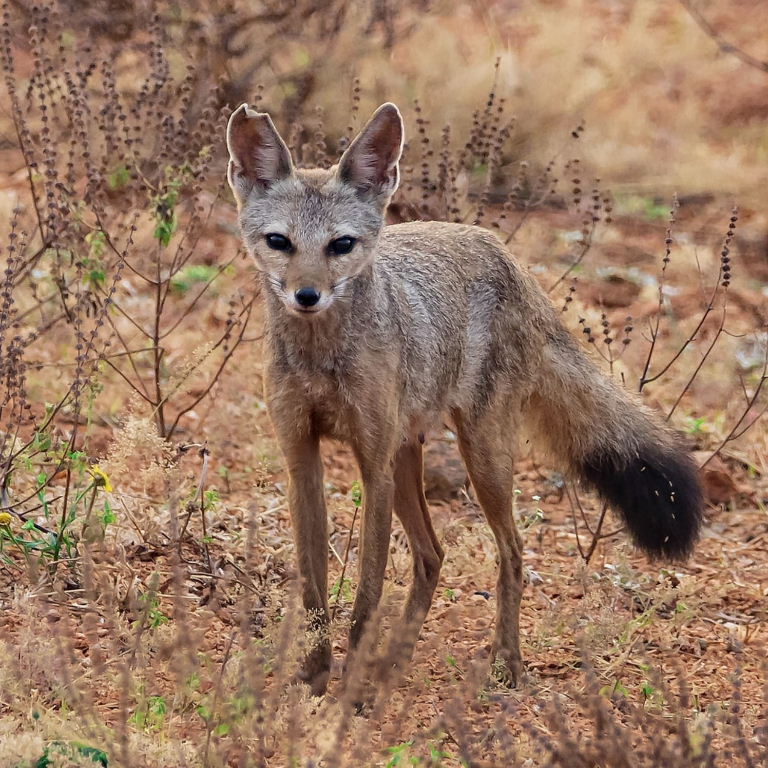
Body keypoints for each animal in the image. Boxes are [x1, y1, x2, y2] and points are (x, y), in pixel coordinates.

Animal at [225, 101, 703, 696]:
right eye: (279, 242)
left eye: (341, 245)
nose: (306, 296)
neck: (322, 359)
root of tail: (505, 254)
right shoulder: (302, 461)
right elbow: (315, 592)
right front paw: (313, 681)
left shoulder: (372, 469)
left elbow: (365, 596)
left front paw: (350, 690)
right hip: (411, 459)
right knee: (433, 555)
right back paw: (395, 661)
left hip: (480, 459)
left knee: (513, 552)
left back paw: (506, 663)